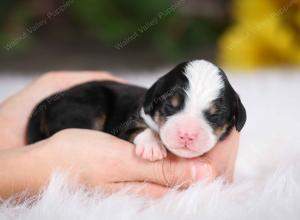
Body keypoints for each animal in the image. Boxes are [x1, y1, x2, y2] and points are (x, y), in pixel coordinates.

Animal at [26, 59, 246, 161]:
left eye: (215, 115)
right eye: (170, 106)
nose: (187, 135)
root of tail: (46, 103)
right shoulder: (126, 123)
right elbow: (139, 129)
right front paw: (152, 146)